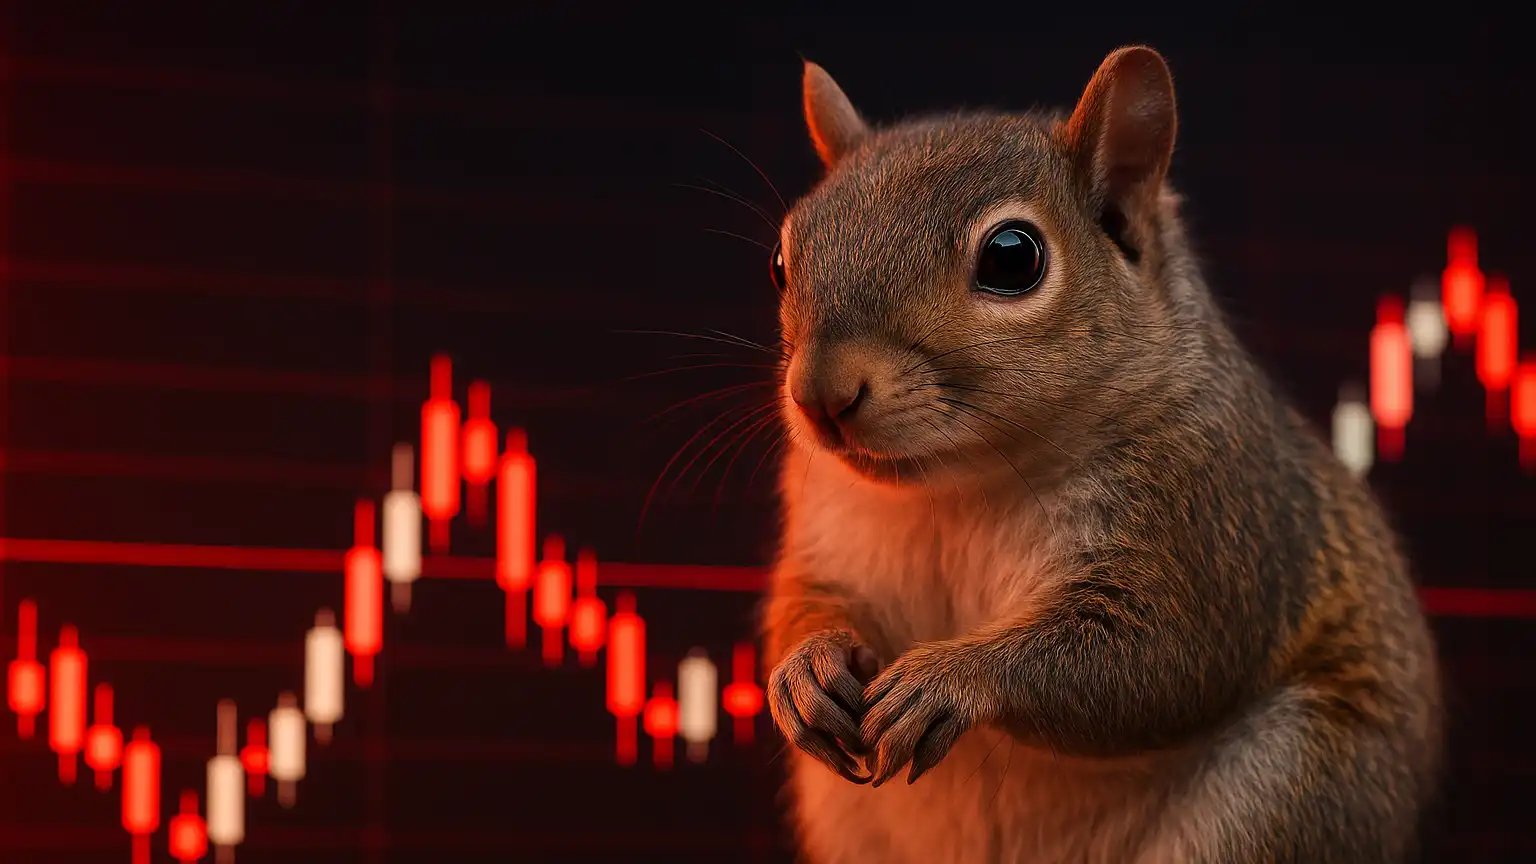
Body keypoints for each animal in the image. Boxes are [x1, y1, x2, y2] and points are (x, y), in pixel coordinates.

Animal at [760, 46, 1443, 864]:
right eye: (782, 257)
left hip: (1288, 790)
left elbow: (1154, 656)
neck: (958, 486)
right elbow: (801, 598)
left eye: (1012, 258)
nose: (820, 395)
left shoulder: (1210, 513)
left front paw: (951, 676)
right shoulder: (826, 527)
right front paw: (805, 667)